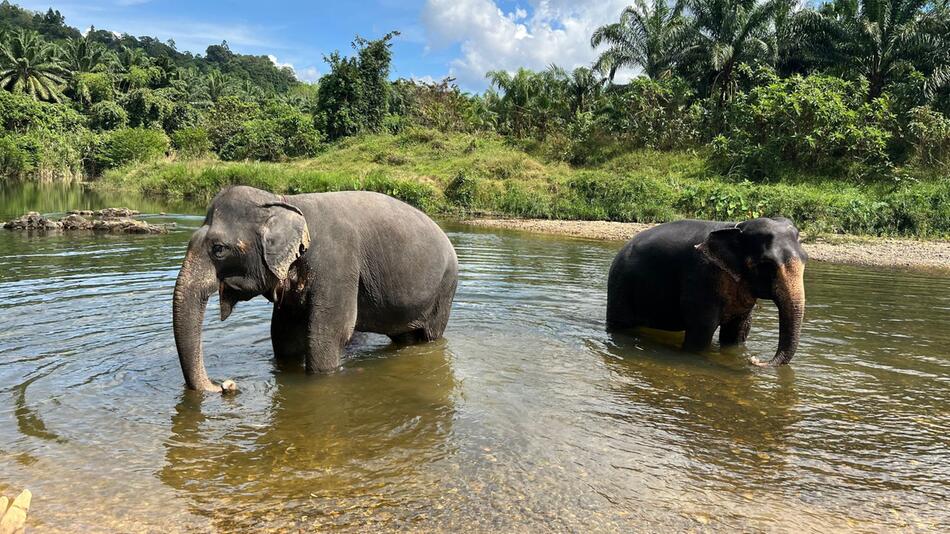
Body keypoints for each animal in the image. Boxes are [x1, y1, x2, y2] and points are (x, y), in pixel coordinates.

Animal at [172, 185, 462, 394]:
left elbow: (329, 333)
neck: (284, 201)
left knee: (429, 336)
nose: (225, 385)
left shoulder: (337, 264)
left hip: (444, 290)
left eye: (219, 249)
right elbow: (283, 334)